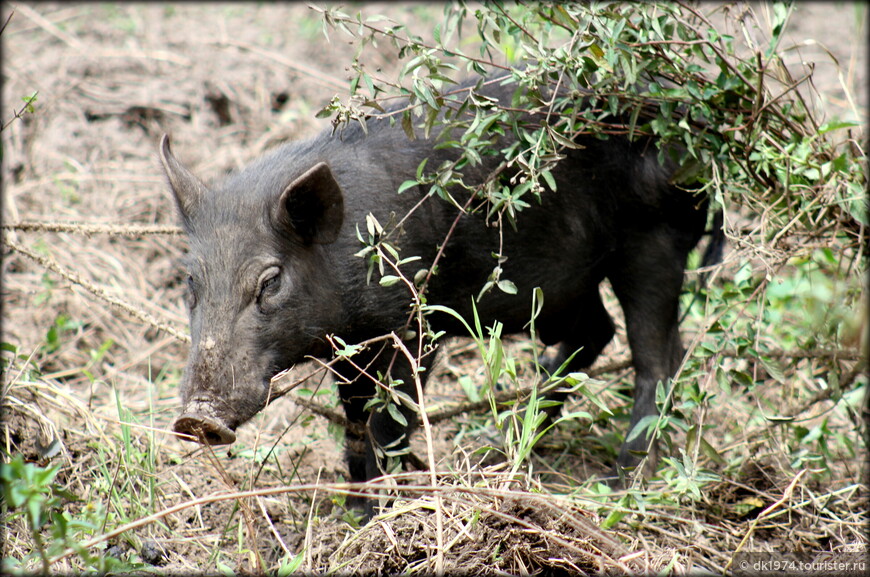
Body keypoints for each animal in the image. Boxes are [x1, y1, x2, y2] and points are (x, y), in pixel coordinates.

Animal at [164, 75, 716, 508]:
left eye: (271, 281)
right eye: (190, 280)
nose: (196, 417)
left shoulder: (414, 327)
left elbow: (389, 421)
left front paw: (385, 513)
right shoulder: (349, 348)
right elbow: (355, 422)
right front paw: (355, 510)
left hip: (656, 243)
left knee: (657, 359)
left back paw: (622, 481)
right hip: (571, 285)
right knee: (598, 332)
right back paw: (500, 449)